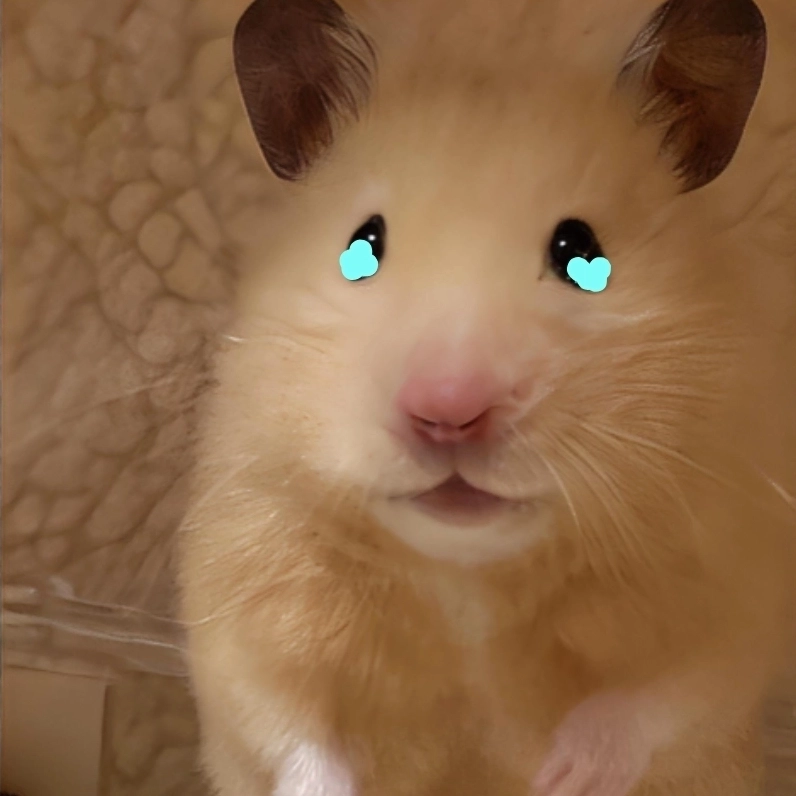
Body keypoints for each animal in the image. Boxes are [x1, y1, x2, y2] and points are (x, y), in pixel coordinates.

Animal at [178, 1, 796, 795]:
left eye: (581, 251)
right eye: (362, 245)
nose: (447, 411)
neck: (465, 575)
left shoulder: (733, 591)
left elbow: (663, 698)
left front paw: (560, 776)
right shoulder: (239, 594)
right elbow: (286, 726)